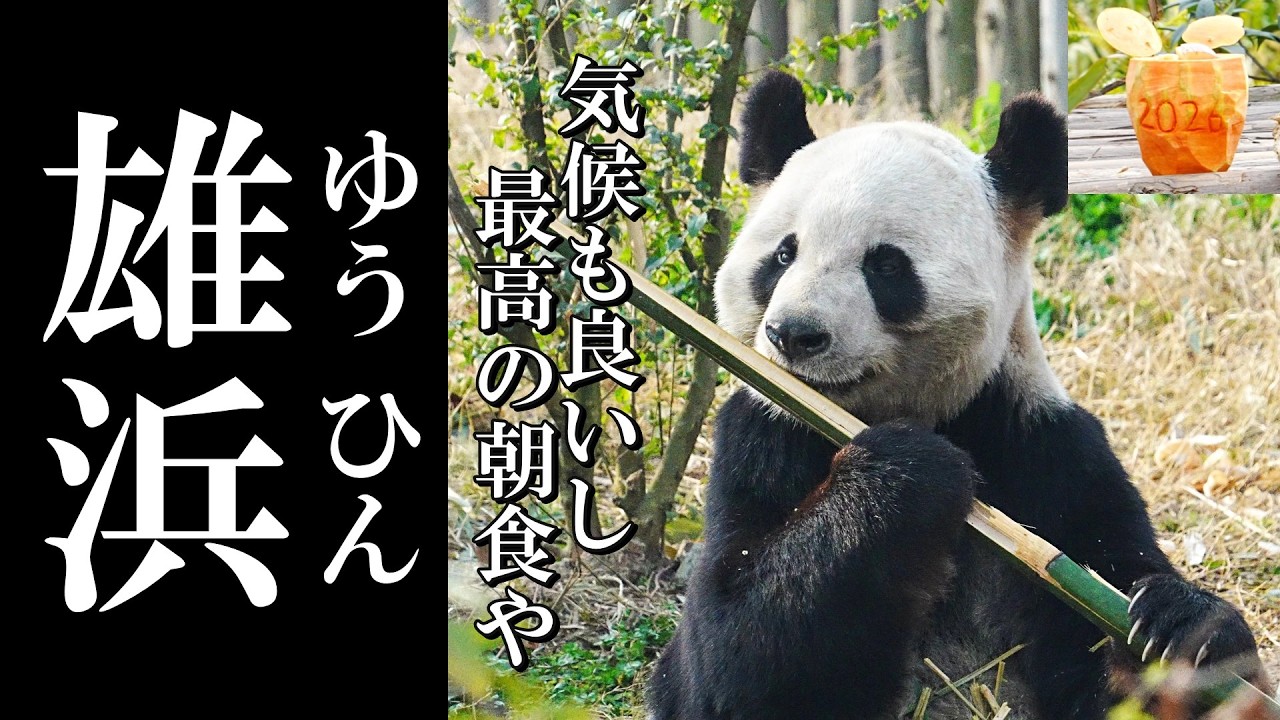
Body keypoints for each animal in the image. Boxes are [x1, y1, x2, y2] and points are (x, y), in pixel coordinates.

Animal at [646, 72, 1270, 720]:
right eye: (783, 254)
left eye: (885, 266)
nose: (795, 334)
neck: (856, 417)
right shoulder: (761, 434)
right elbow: (723, 664)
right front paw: (903, 472)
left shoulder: (1042, 445)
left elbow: (1115, 627)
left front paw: (1183, 629)